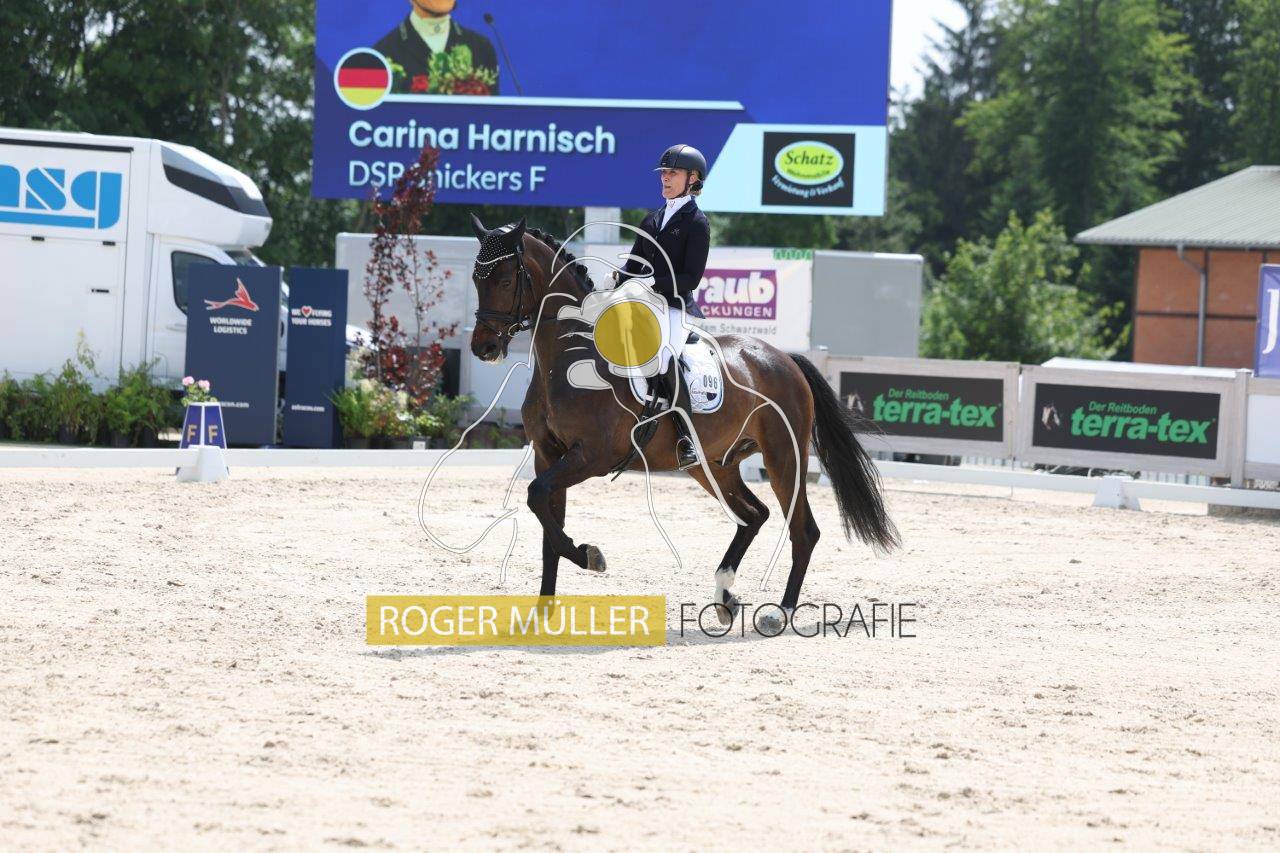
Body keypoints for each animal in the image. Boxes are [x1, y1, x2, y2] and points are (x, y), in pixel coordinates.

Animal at [467, 214, 899, 629]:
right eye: (476, 279)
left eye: (505, 279)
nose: (484, 347)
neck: (569, 359)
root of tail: (784, 359)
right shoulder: (547, 454)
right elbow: (545, 521)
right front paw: (542, 614)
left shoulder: (593, 455)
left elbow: (537, 496)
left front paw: (591, 556)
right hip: (714, 466)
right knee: (754, 515)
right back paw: (725, 597)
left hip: (784, 458)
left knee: (803, 530)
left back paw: (780, 613)